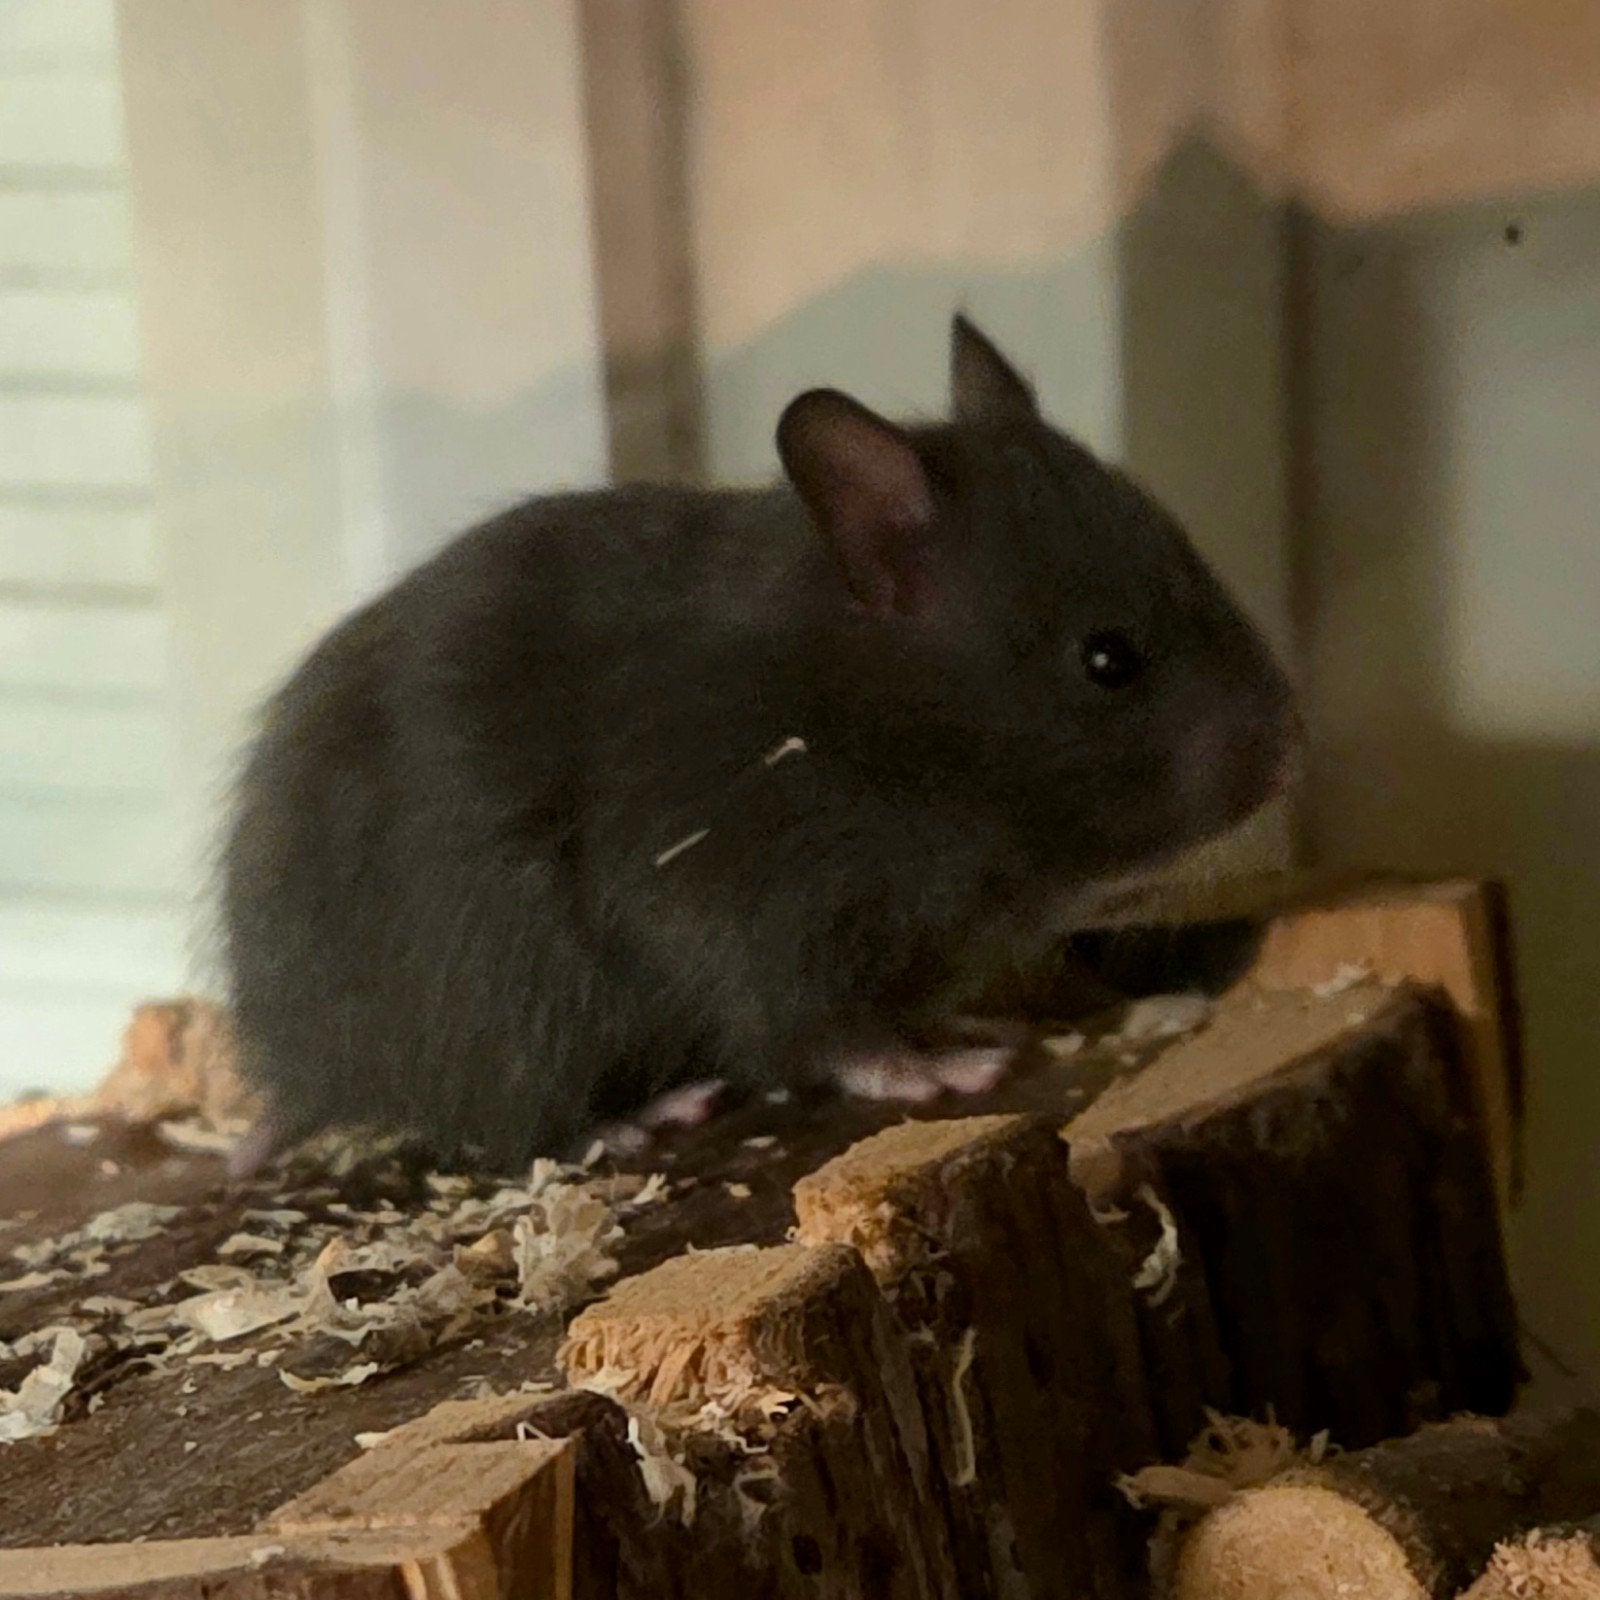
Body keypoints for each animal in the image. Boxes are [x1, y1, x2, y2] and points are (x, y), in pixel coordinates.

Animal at [220, 315, 1296, 1174]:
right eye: (1108, 659)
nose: (1288, 747)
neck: (872, 735)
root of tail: (299, 1069)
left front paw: (971, 1023)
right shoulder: (755, 918)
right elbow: (834, 1037)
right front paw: (960, 1066)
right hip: (516, 1005)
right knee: (512, 1122)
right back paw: (647, 1114)